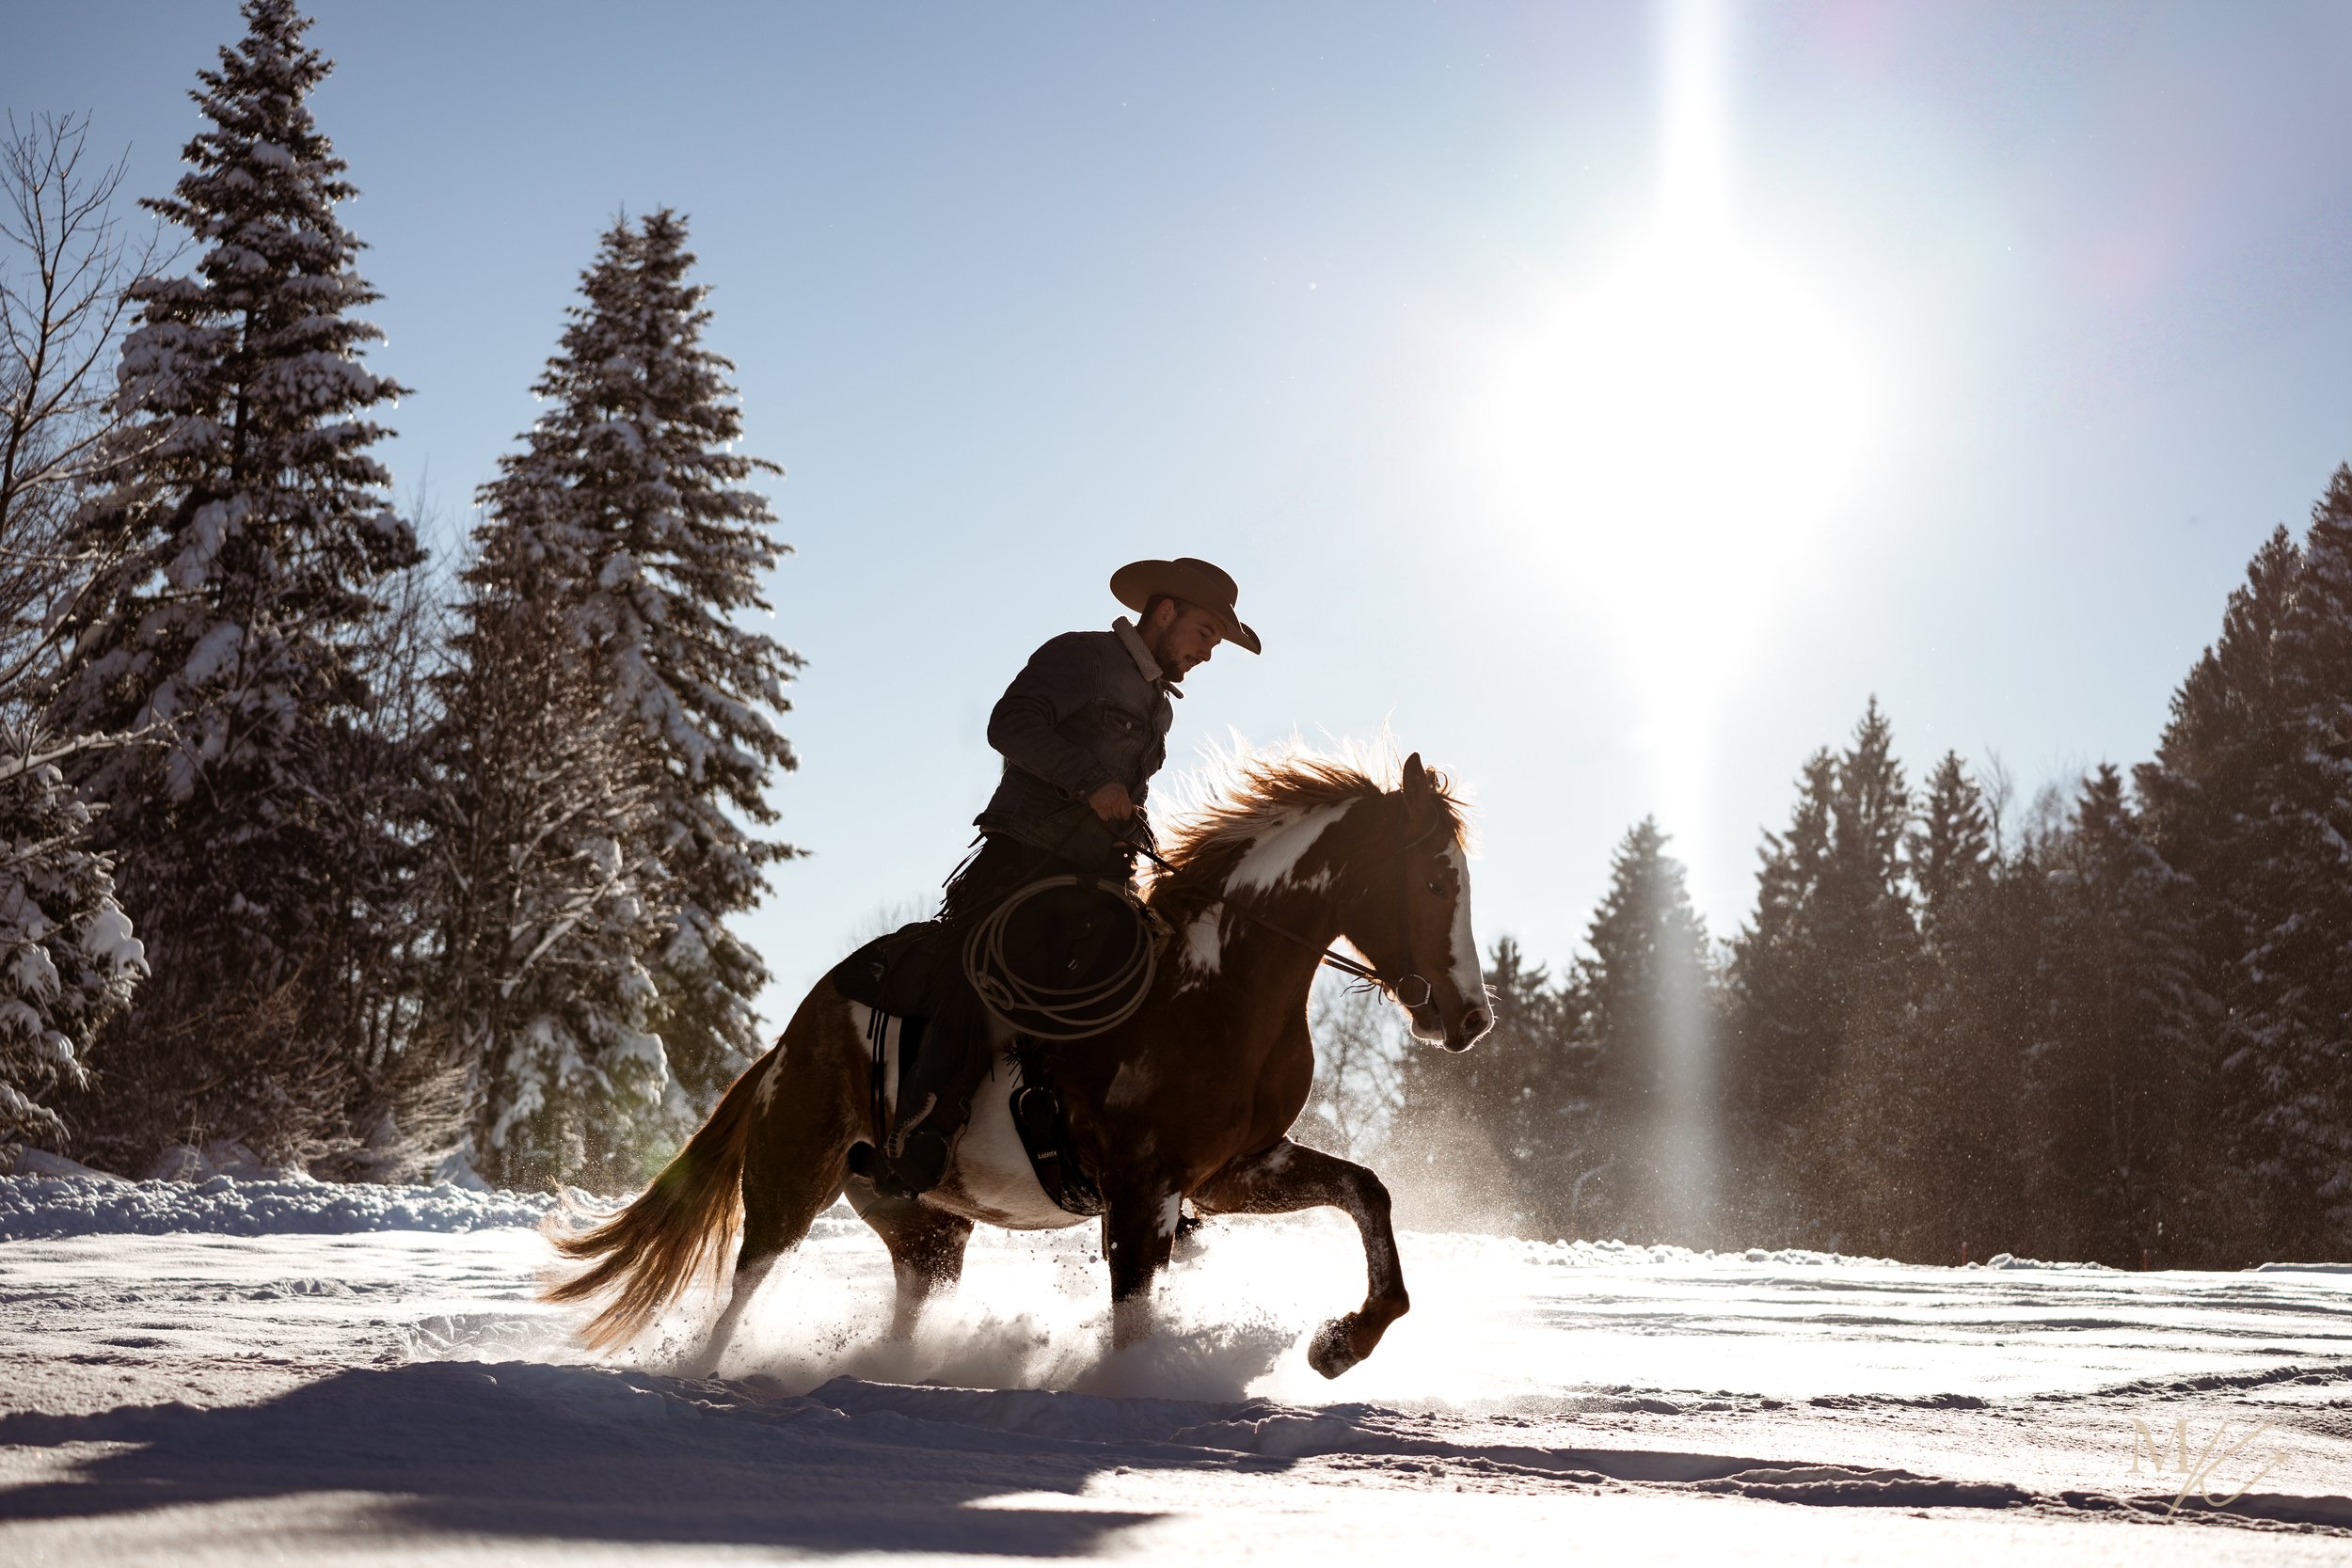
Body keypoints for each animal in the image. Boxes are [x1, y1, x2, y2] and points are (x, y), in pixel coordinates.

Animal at [544, 750, 1493, 1378]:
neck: (1211, 985)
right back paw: (703, 1375)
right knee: (744, 1285)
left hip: (926, 1230)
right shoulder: (1141, 1190)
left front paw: (1342, 1341)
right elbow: (1134, 1315)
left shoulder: (1230, 1172)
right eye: (1436, 881)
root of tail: (786, 1044)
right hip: (791, 1178)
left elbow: (1368, 1192)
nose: (1470, 1017)